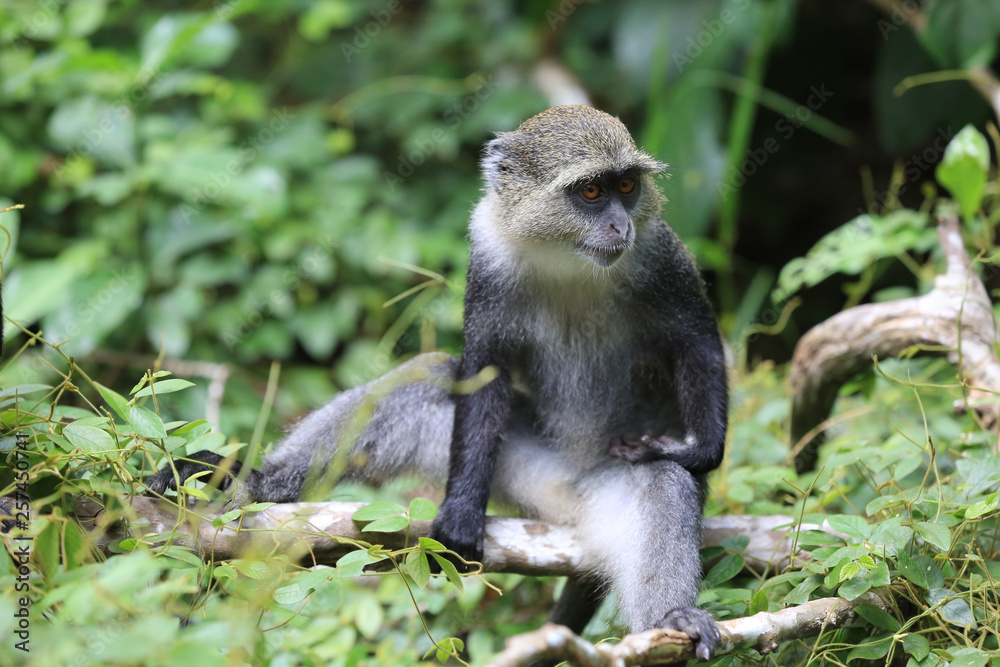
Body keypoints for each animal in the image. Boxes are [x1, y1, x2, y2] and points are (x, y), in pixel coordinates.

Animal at [147, 105, 728, 660]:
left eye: (627, 186)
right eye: (591, 191)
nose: (618, 227)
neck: (565, 255)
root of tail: (572, 498)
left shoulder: (658, 252)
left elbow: (696, 341)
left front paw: (699, 451)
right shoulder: (489, 253)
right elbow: (480, 373)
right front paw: (462, 511)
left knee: (662, 480)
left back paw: (671, 618)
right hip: (529, 478)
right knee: (427, 373)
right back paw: (252, 482)